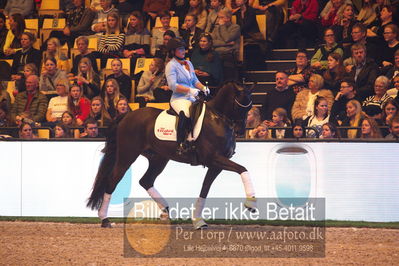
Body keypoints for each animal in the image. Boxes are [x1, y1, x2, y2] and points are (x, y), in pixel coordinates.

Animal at [86, 81, 256, 229]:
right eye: (239, 105)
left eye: (250, 107)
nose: (241, 130)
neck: (218, 118)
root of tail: (127, 116)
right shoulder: (213, 159)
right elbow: (243, 169)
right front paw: (251, 203)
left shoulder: (217, 164)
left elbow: (205, 188)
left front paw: (198, 221)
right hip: (127, 155)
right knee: (112, 181)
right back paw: (105, 219)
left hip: (159, 158)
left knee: (146, 181)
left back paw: (165, 211)